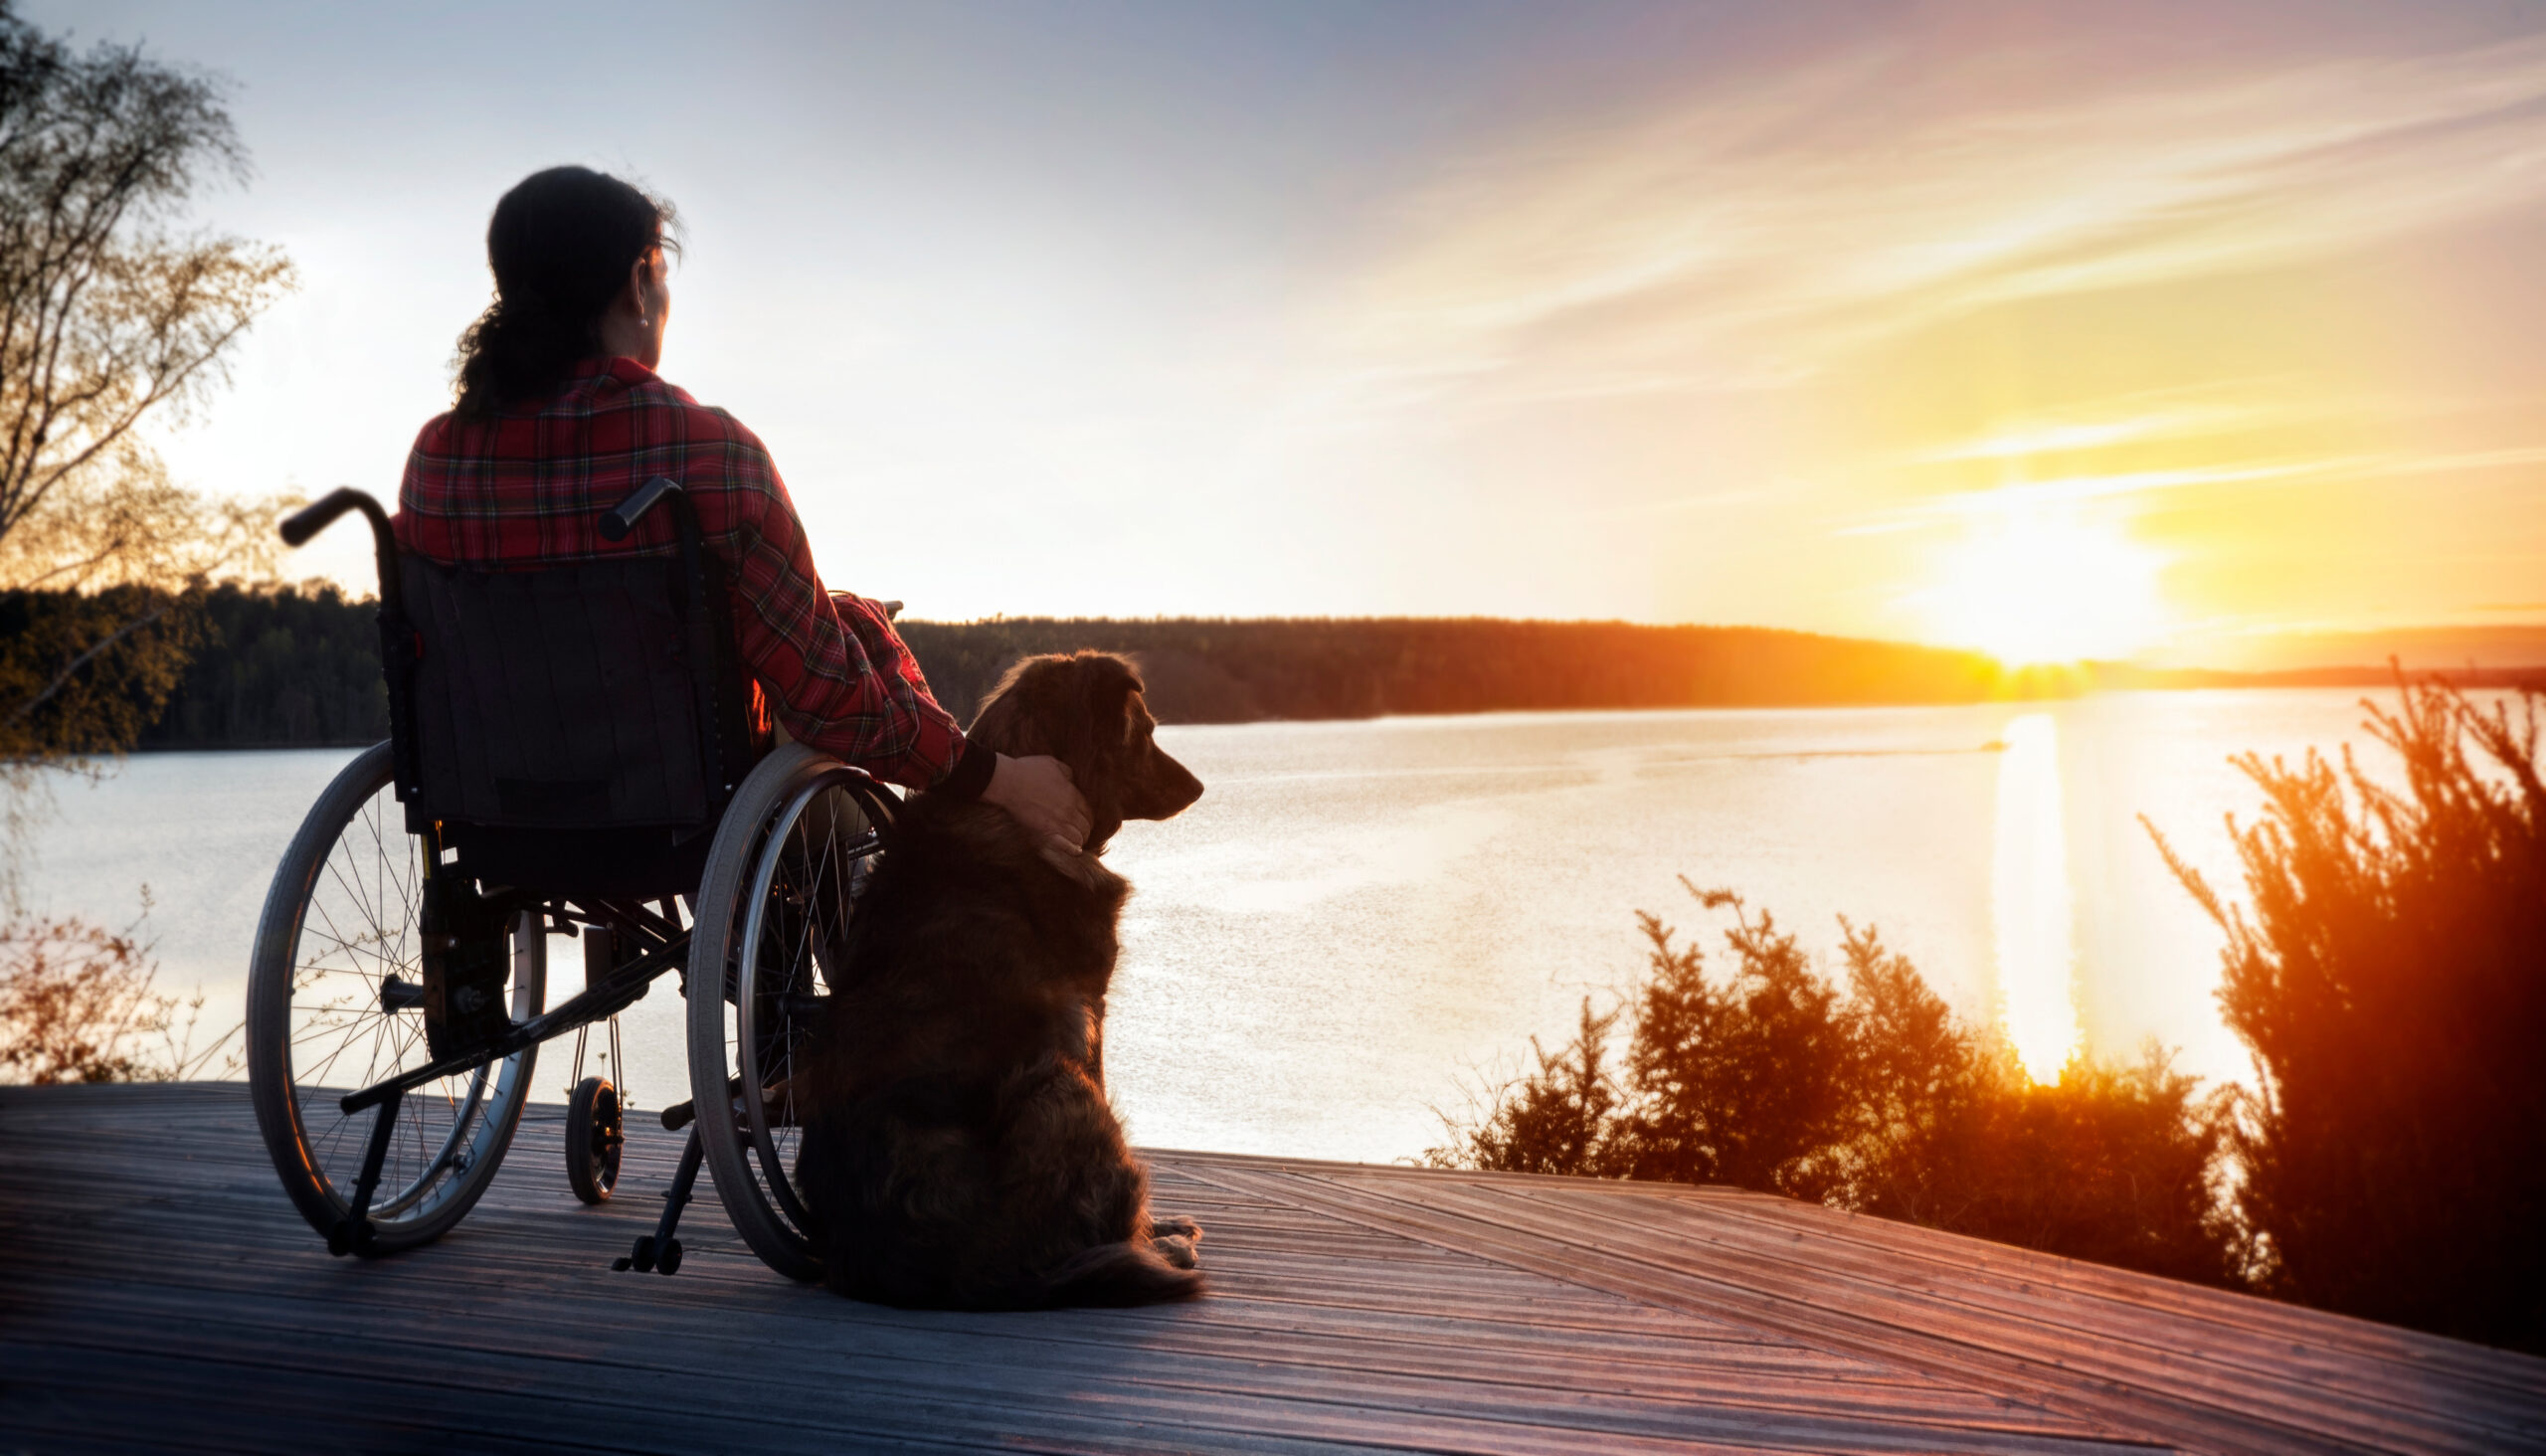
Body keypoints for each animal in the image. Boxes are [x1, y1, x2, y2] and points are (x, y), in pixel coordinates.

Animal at [799, 651, 1206, 1303]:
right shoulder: (1088, 1010)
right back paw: (1161, 1247)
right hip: (1059, 1084)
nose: (1199, 788)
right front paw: (1158, 1229)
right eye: (1142, 731)